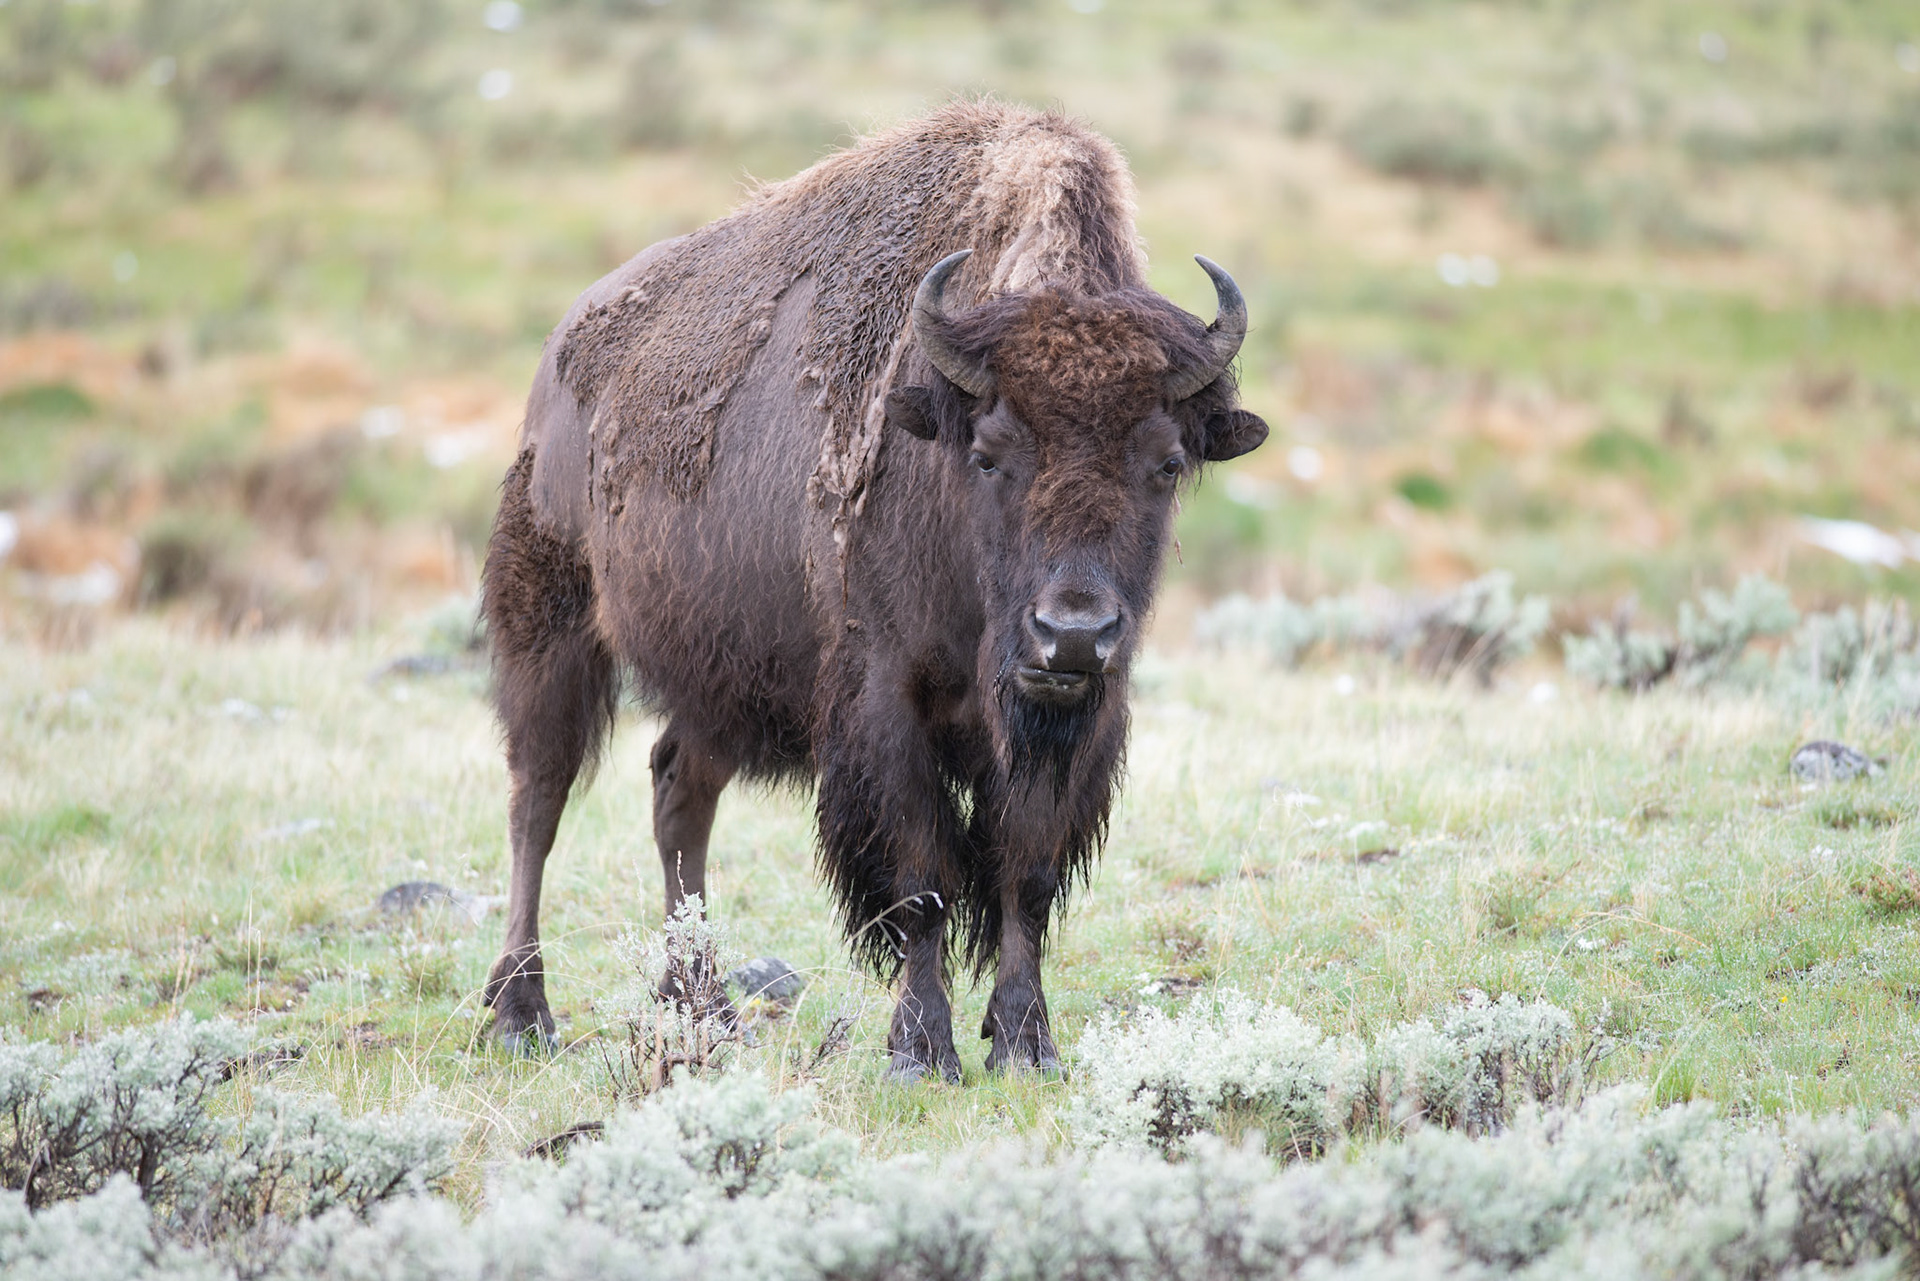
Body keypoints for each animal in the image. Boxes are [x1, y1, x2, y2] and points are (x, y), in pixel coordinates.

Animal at [483, 102, 1259, 1083]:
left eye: (1166, 461)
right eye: (989, 453)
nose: (1072, 634)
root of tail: (564, 351)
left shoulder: (1079, 723)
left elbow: (1027, 872)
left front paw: (1025, 1043)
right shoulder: (888, 703)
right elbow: (919, 881)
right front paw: (921, 1050)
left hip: (718, 679)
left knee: (678, 794)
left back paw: (702, 1009)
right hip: (550, 621)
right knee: (537, 800)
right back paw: (523, 1013)